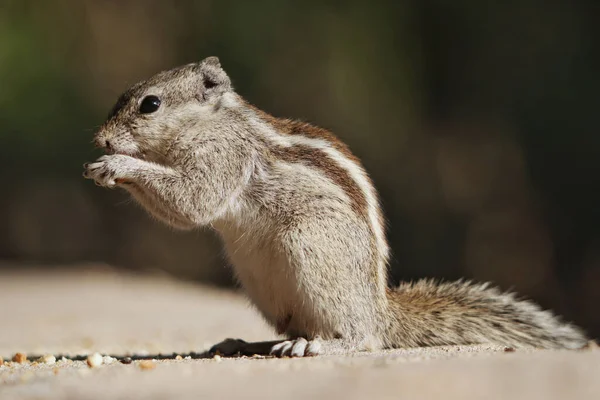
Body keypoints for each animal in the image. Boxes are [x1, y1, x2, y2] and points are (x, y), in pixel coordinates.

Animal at [83, 55, 584, 356]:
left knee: (363, 340)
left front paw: (117, 164)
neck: (212, 123)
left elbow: (192, 202)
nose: (101, 139)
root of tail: (379, 310)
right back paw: (242, 343)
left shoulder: (224, 158)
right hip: (264, 284)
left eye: (150, 104)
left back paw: (319, 346)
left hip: (310, 250)